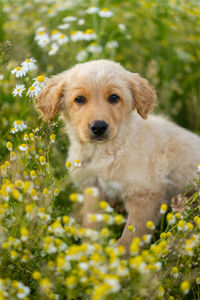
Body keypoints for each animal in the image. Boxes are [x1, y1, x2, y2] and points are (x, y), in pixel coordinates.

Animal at [37, 58, 200, 251]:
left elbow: (129, 239)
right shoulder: (94, 191)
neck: (106, 150)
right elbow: (92, 226)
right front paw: (90, 251)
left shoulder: (145, 196)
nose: (99, 127)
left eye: (114, 98)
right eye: (79, 99)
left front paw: (121, 258)